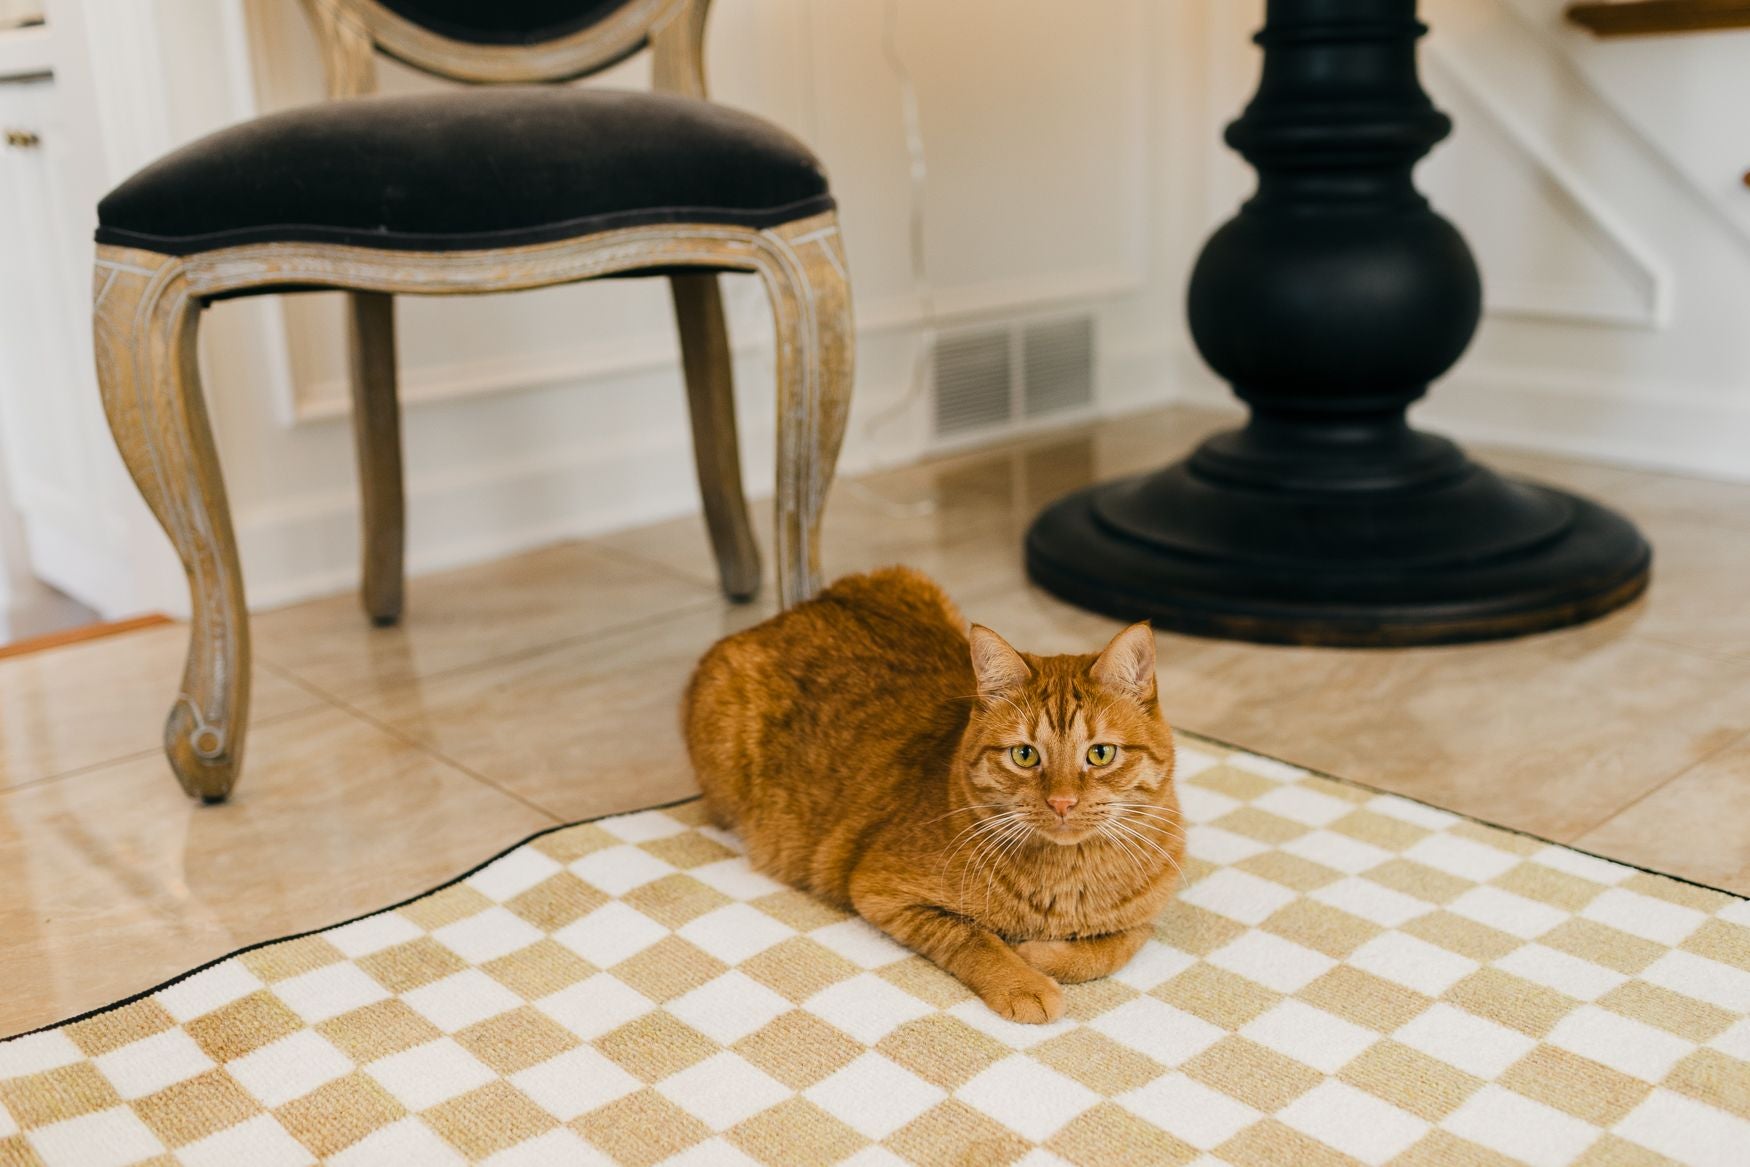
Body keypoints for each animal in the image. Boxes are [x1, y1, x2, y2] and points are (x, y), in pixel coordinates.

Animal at [675, 566, 1183, 1021]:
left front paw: (1040, 954)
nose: (1061, 802)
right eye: (1024, 755)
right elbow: (972, 937)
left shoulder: (1151, 911)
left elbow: (1115, 946)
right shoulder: (881, 891)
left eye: (1100, 754)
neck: (1067, 882)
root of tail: (799, 607)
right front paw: (1023, 980)